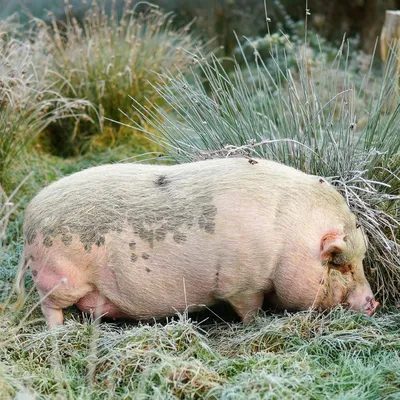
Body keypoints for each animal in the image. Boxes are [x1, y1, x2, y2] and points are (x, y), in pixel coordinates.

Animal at [14, 157, 380, 328]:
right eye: (341, 264)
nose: (374, 303)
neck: (289, 242)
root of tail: (29, 214)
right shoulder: (242, 284)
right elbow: (250, 309)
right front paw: (256, 325)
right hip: (59, 278)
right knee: (50, 307)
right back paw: (59, 332)